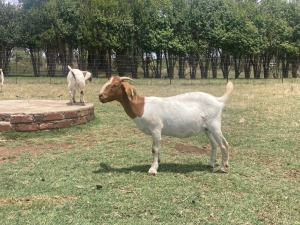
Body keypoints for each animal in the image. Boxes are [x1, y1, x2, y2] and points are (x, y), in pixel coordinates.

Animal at [99, 77, 234, 176]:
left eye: (115, 84)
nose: (100, 96)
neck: (141, 106)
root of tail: (218, 100)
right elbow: (156, 148)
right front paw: (158, 162)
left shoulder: (156, 128)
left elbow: (154, 149)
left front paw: (153, 169)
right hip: (206, 128)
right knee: (214, 144)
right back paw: (211, 163)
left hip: (214, 124)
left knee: (224, 144)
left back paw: (223, 167)